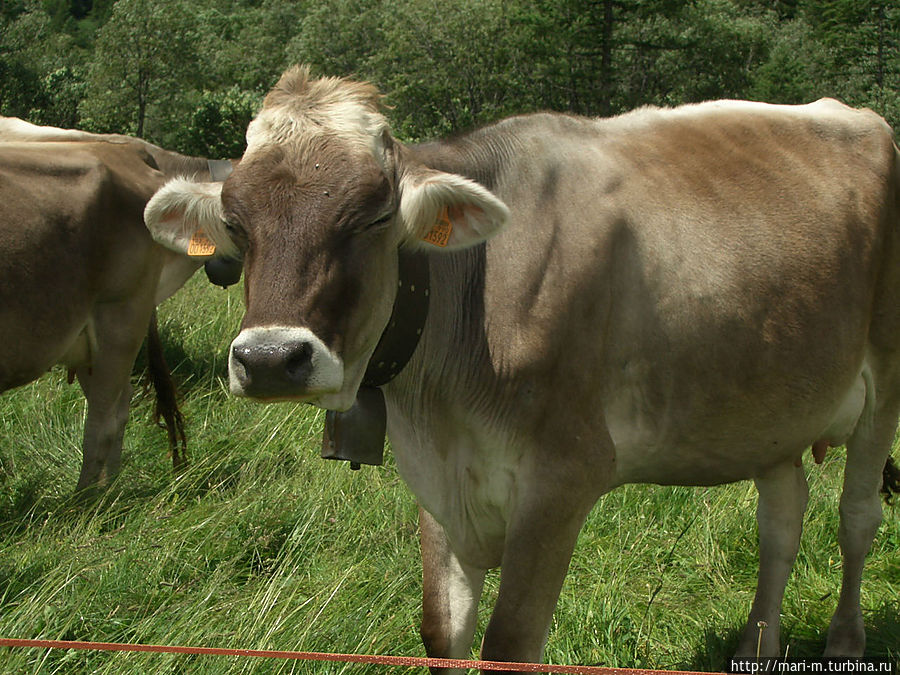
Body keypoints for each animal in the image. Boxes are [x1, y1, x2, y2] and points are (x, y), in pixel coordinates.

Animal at [146, 67, 900, 672]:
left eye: (377, 215)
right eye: (235, 223)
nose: (271, 358)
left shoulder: (564, 474)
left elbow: (510, 644)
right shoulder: (438, 478)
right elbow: (442, 632)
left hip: (886, 377)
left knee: (856, 517)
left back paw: (846, 639)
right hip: (774, 401)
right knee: (783, 517)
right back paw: (756, 645)